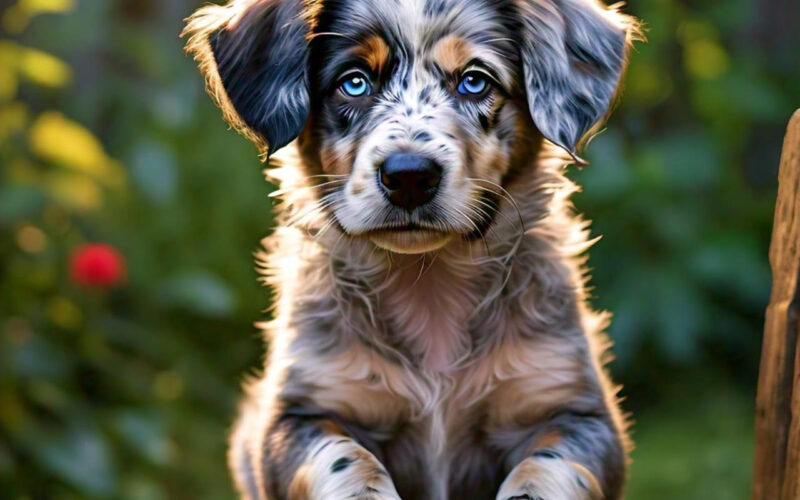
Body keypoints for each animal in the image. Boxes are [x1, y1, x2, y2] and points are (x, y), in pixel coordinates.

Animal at [184, 1, 640, 498]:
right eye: (354, 82)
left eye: (475, 81)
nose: (409, 176)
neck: (428, 278)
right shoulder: (297, 414)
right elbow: (344, 462)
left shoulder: (576, 412)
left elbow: (545, 472)